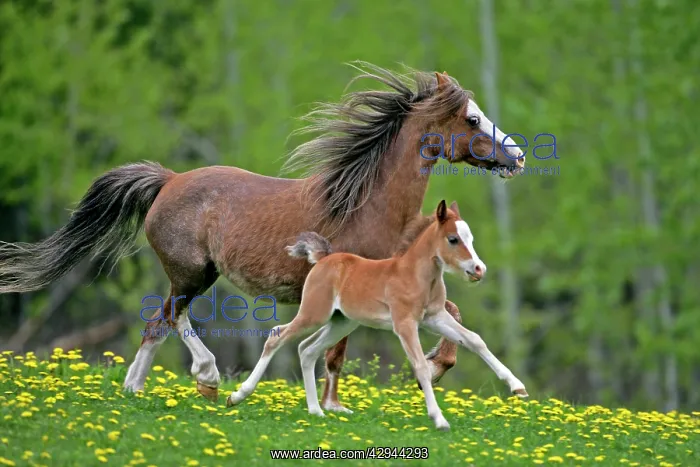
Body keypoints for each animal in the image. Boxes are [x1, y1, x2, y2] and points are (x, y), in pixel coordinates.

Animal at [227, 200, 528, 431]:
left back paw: (315, 411)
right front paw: (439, 419)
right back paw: (238, 395)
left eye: (471, 239)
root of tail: (324, 257)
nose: (478, 269)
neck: (416, 275)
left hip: (342, 322)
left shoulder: (435, 318)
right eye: (453, 239)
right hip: (314, 313)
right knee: (277, 336)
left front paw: (517, 387)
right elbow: (420, 365)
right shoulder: (405, 324)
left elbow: (475, 340)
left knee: (307, 349)